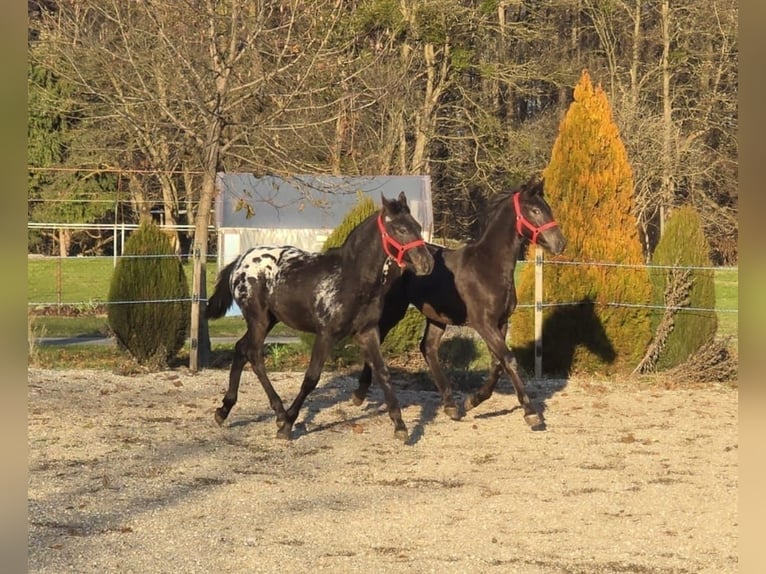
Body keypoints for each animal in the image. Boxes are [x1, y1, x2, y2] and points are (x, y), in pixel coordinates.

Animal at [206, 192, 434, 442]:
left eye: (418, 226)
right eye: (401, 229)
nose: (427, 264)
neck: (351, 279)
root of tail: (240, 262)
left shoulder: (368, 332)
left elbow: (383, 372)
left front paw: (400, 426)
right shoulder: (326, 334)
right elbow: (311, 378)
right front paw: (288, 425)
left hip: (269, 320)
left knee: (240, 348)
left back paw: (225, 410)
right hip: (258, 319)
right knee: (254, 354)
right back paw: (279, 414)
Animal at [354, 178, 566, 429]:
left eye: (547, 208)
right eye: (534, 210)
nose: (560, 243)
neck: (488, 267)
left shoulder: (501, 322)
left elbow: (497, 363)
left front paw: (472, 400)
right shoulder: (483, 323)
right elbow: (508, 360)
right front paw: (532, 414)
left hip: (436, 318)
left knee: (428, 348)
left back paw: (451, 406)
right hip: (393, 310)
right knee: (376, 341)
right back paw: (359, 394)